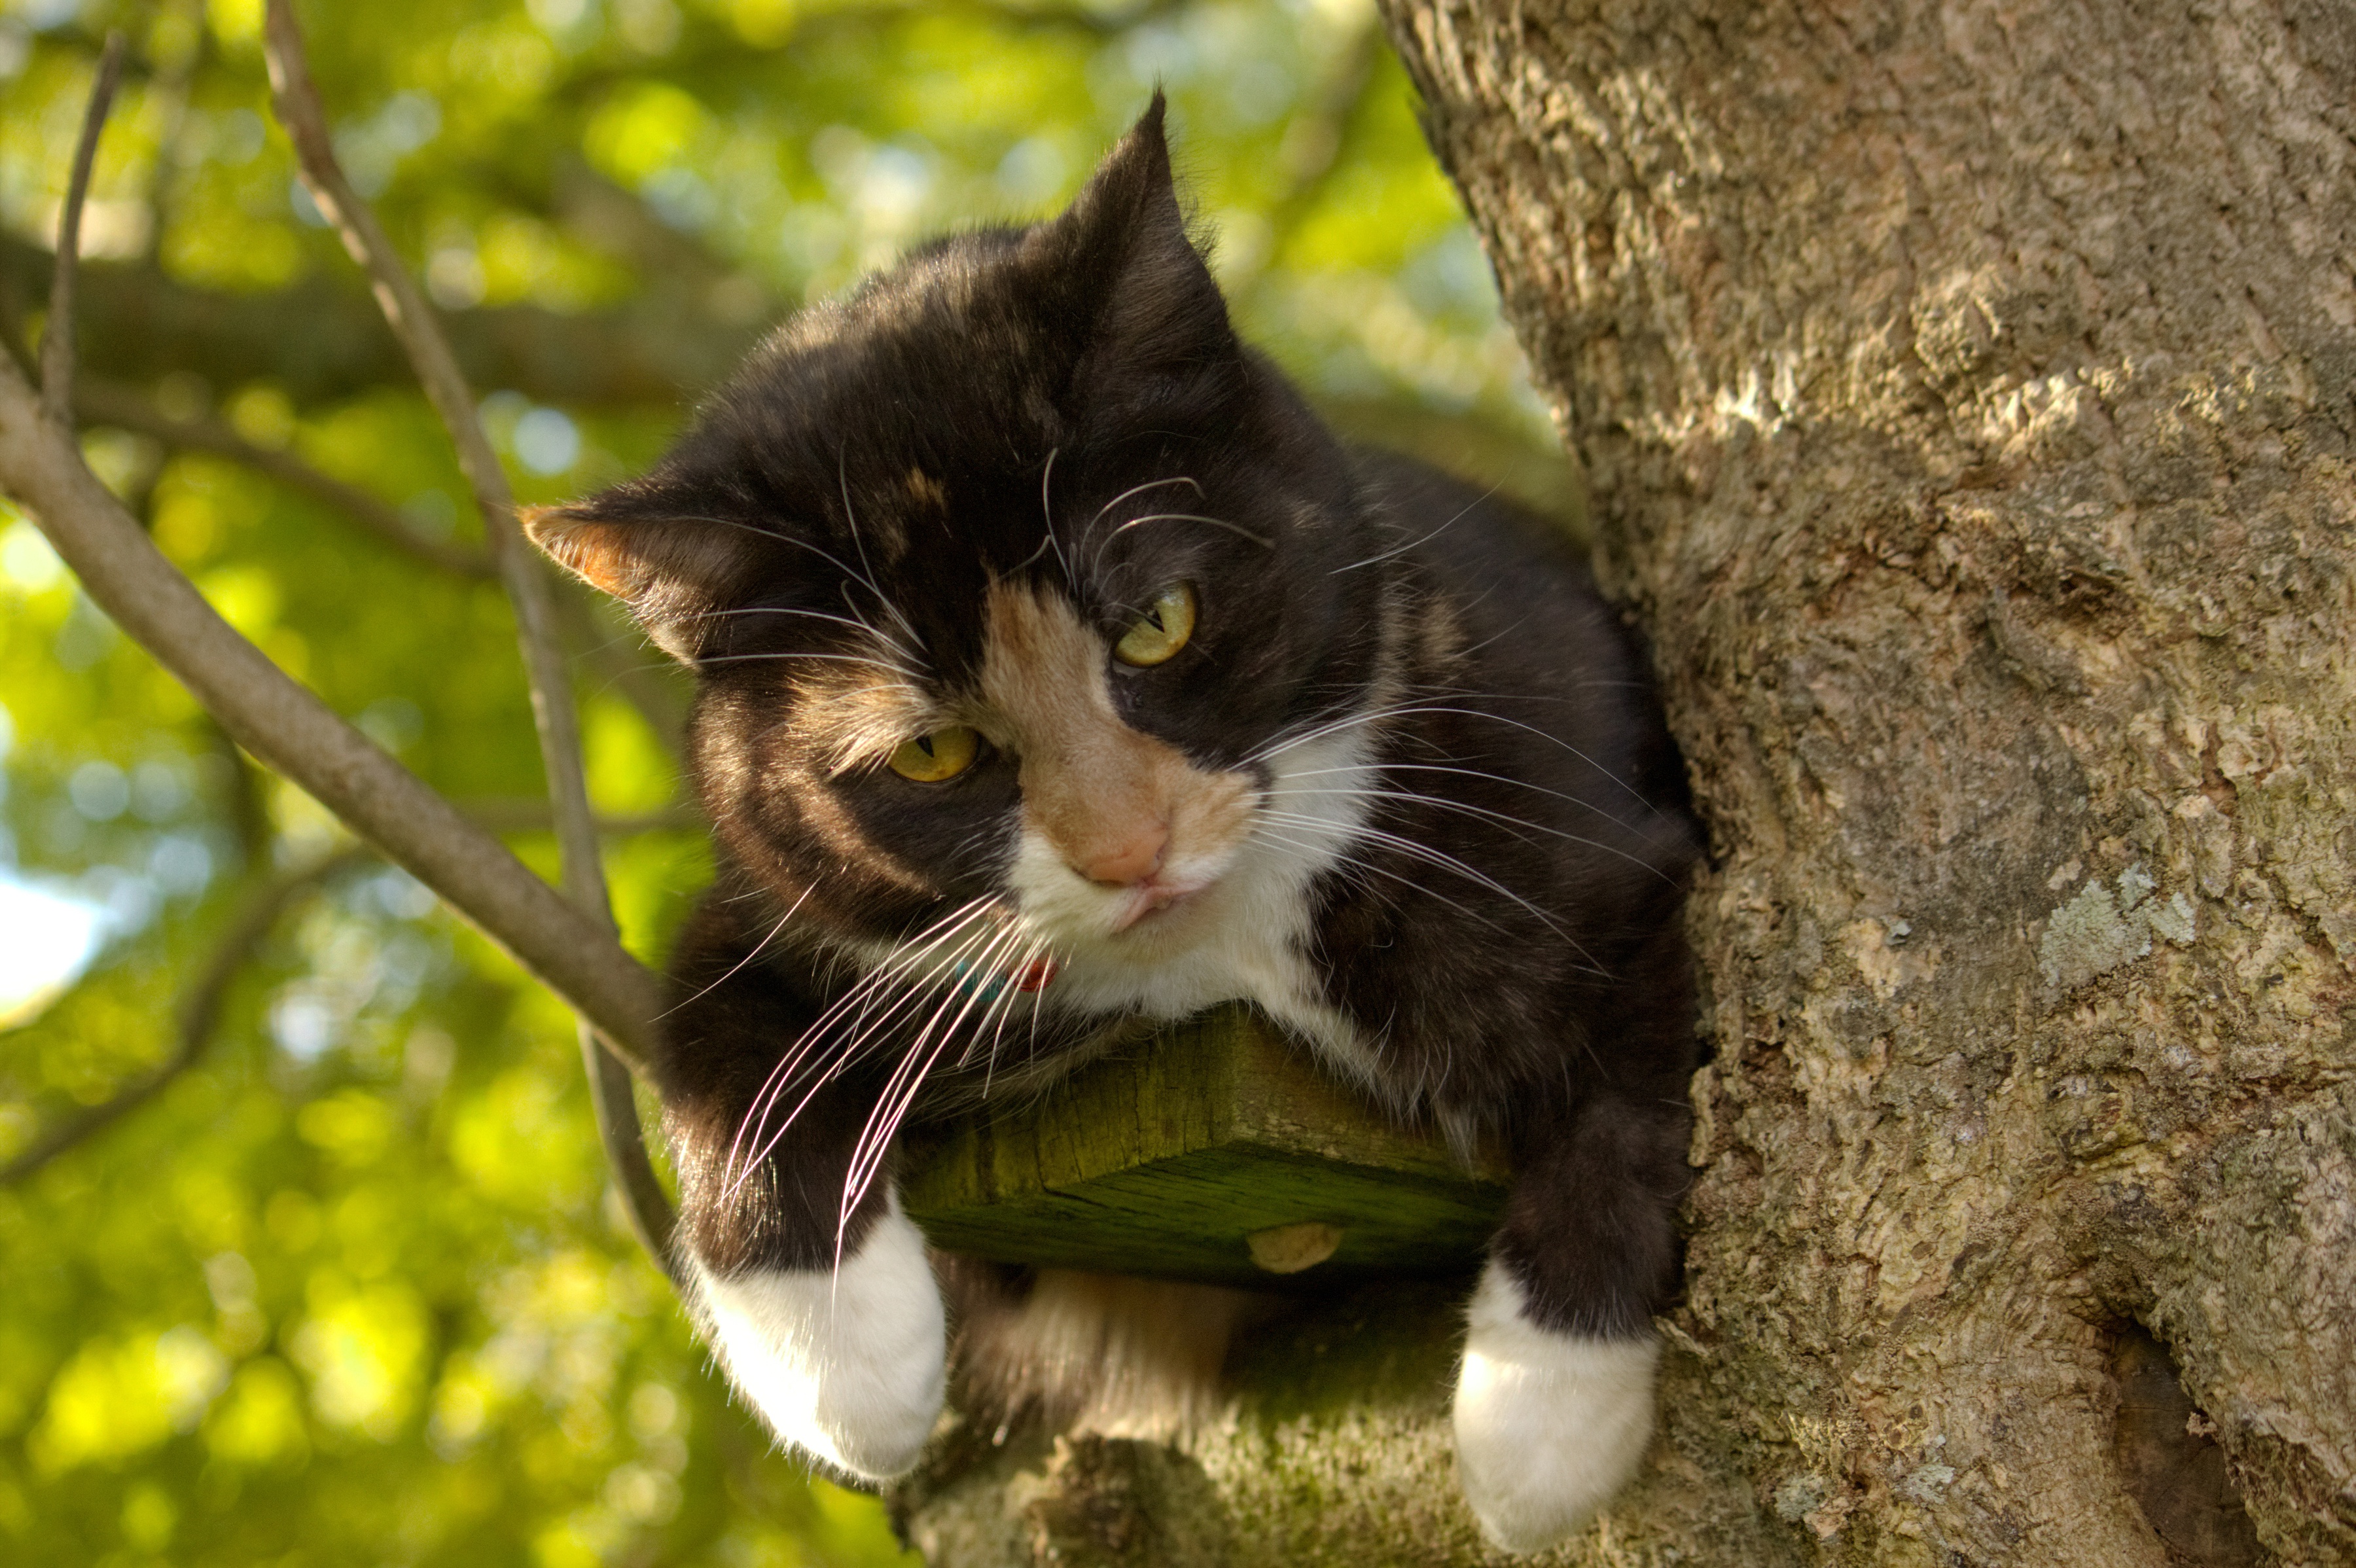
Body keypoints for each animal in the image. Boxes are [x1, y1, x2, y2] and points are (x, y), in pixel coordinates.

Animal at [527, 100, 1705, 1554]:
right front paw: (840, 1360)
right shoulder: (785, 904)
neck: (1220, 955)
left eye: (1157, 622)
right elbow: (710, 1029)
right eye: (934, 750)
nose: (1127, 847)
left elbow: (1642, 1078)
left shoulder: (1583, 799)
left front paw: (1539, 1422)